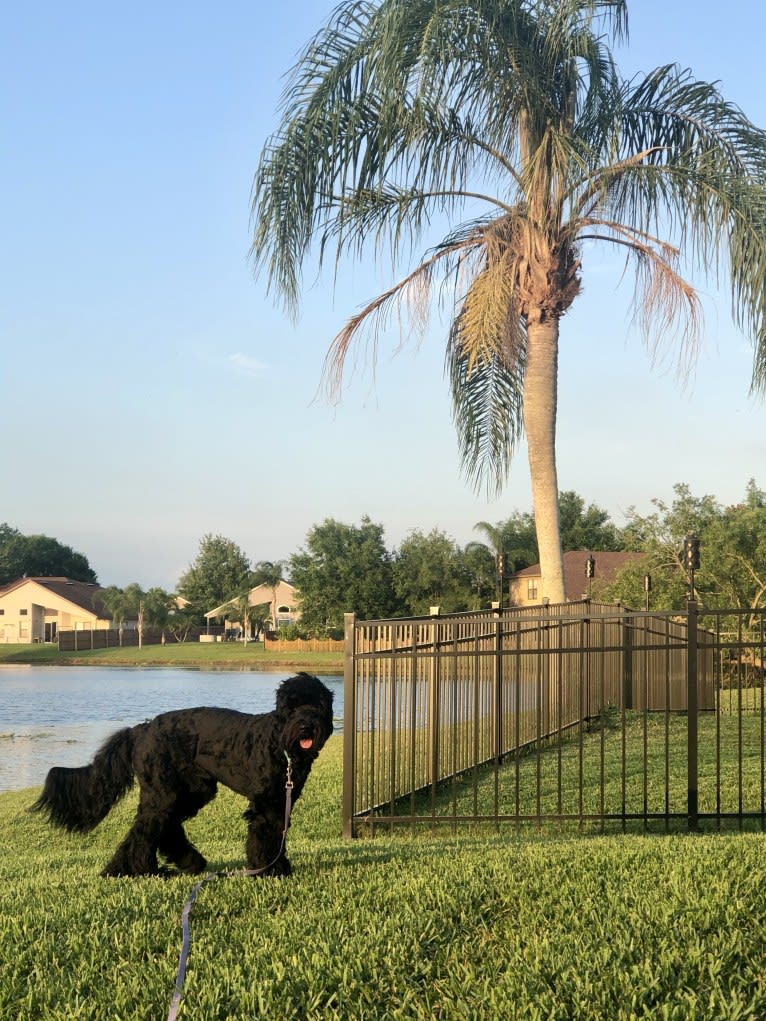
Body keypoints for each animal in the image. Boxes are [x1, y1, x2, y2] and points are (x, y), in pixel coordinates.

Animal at [32, 669, 332, 878]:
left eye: (317, 705)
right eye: (290, 707)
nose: (305, 726)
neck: (279, 744)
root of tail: (141, 729)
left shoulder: (282, 801)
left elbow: (277, 834)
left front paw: (277, 867)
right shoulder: (266, 804)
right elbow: (265, 836)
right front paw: (269, 870)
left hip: (190, 790)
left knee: (165, 827)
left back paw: (184, 862)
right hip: (165, 791)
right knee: (146, 829)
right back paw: (134, 870)